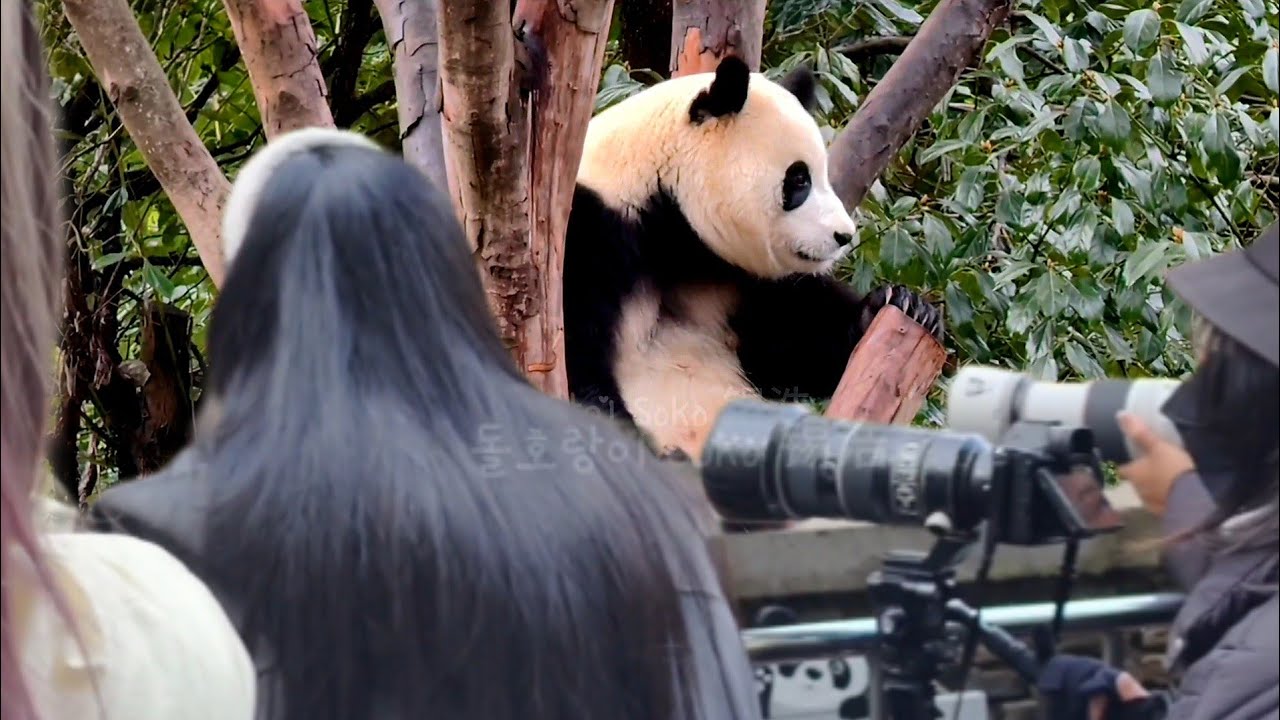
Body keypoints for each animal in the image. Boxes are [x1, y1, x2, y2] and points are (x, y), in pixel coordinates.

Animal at [563, 55, 944, 461]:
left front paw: (906, 305)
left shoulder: (737, 274)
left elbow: (788, 348)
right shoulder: (589, 232)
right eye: (799, 179)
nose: (844, 236)